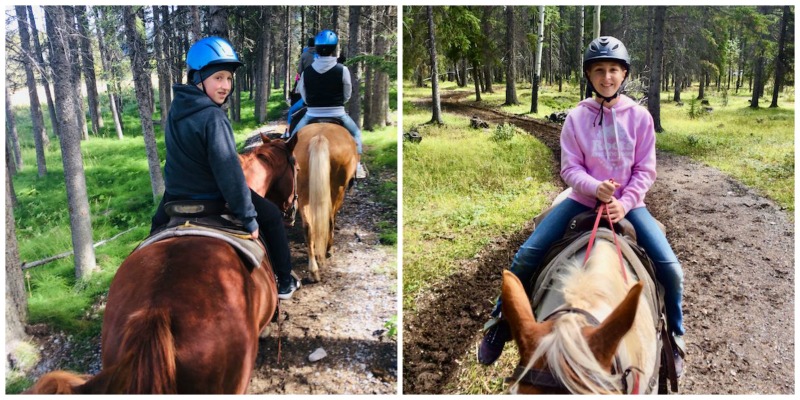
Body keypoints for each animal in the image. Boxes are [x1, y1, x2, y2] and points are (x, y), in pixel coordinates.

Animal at [290, 123, 356, 282]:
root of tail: (319, 137)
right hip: (337, 189)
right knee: (330, 219)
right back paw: (329, 249)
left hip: (303, 191)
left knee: (308, 227)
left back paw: (313, 271)